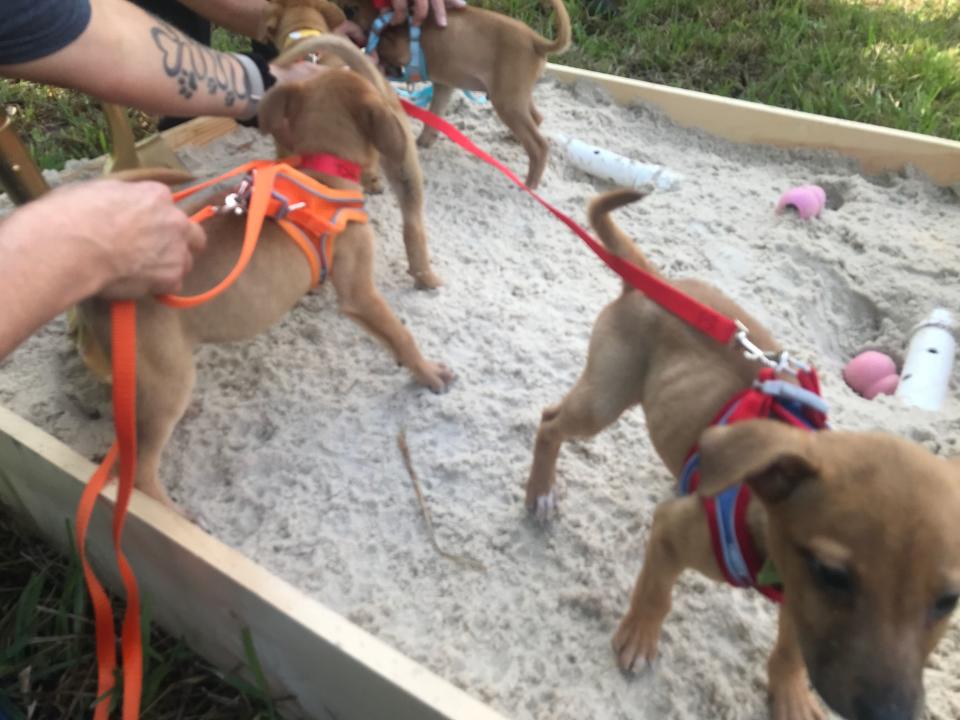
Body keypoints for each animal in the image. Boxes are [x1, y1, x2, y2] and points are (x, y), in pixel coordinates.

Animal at [79, 38, 454, 512]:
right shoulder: (359, 292)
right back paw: (174, 514)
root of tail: (98, 293)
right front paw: (427, 372)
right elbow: (400, 333)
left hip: (147, 378)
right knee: (141, 472)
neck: (320, 168)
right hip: (164, 381)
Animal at [340, 0, 568, 188]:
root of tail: (536, 41)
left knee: (539, 146)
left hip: (507, 102)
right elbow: (433, 117)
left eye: (349, 10)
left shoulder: (401, 48)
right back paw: (513, 139)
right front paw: (424, 142)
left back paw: (529, 185)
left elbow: (382, 45)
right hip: (516, 97)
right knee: (537, 118)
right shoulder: (443, 85)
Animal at [524, 187, 960, 720]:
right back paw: (541, 493)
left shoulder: (800, 602)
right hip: (604, 399)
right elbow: (656, 593)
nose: (891, 714)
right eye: (833, 575)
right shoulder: (672, 530)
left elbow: (791, 651)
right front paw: (639, 638)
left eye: (948, 601)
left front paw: (791, 695)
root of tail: (654, 284)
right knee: (550, 424)